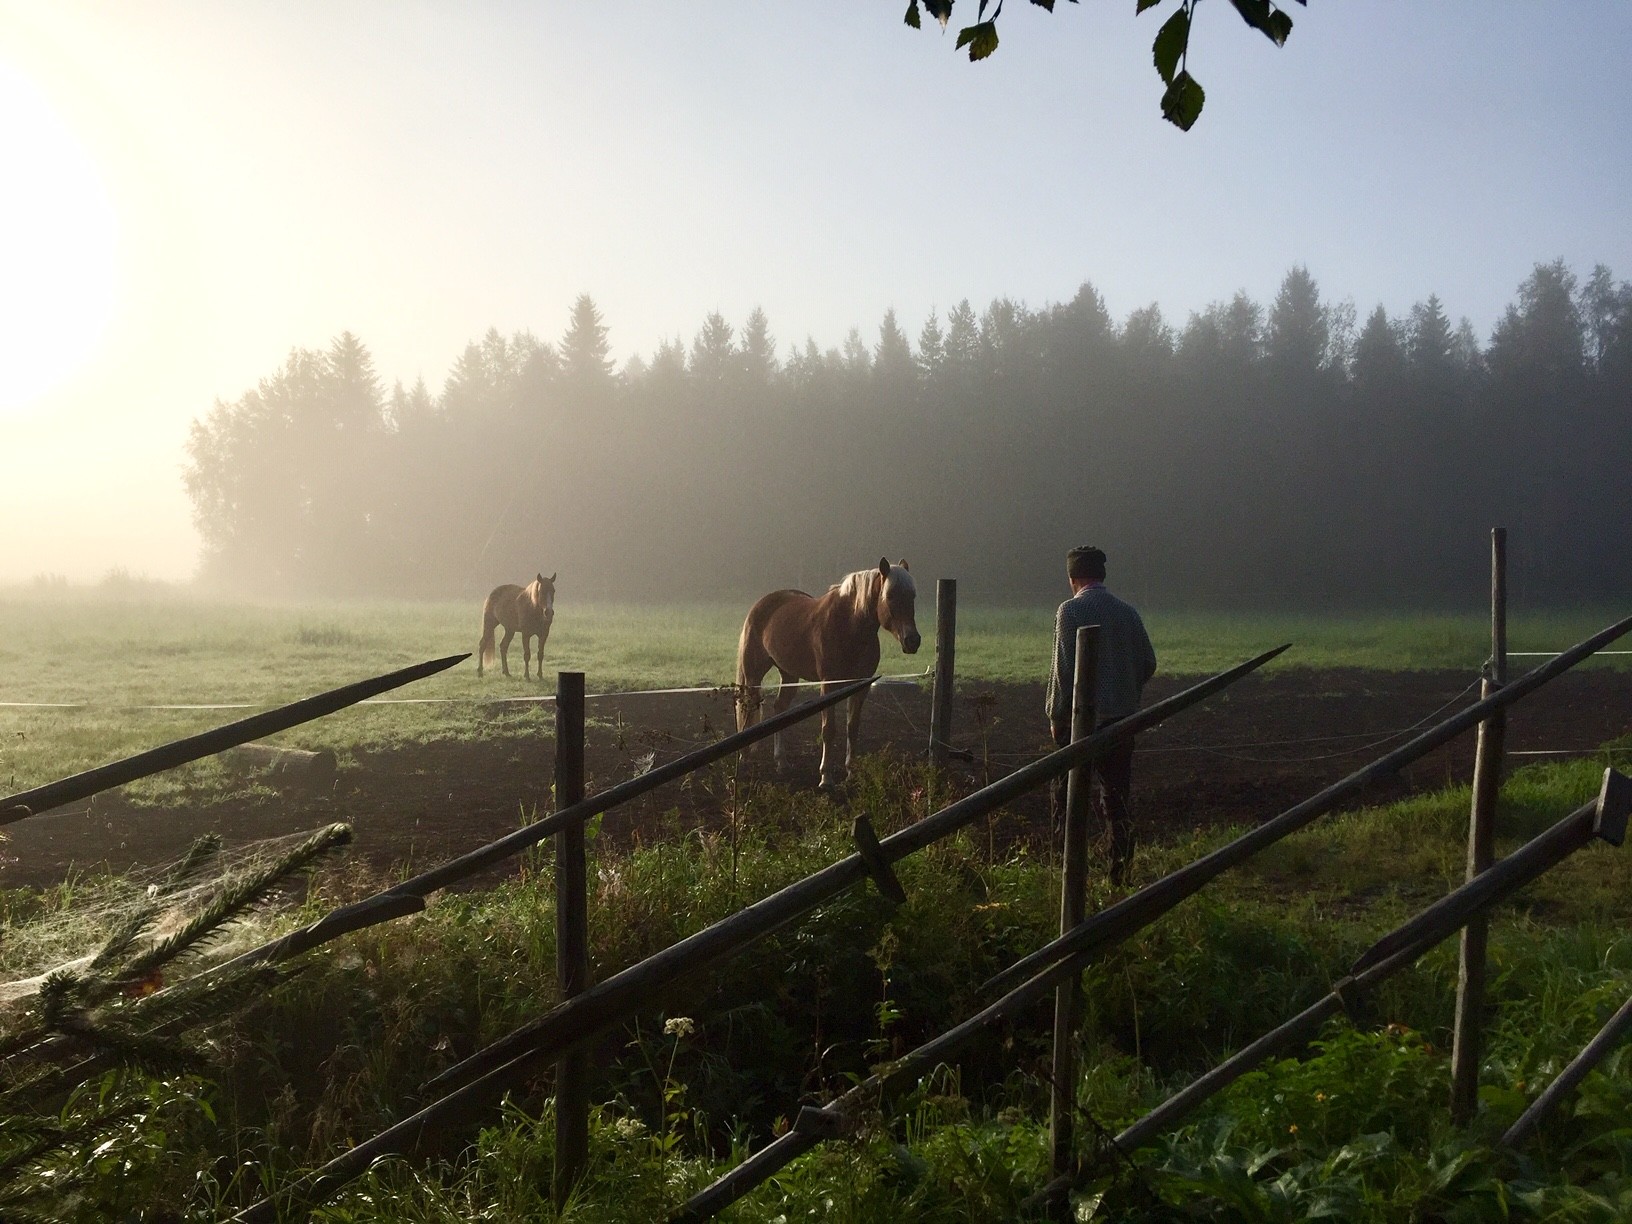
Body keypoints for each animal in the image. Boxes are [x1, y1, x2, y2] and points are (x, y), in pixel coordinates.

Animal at [737, 558, 920, 789]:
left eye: (912, 595)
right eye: (890, 596)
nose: (912, 641)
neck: (849, 626)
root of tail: (761, 604)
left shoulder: (860, 686)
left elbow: (852, 727)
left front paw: (851, 772)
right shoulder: (829, 684)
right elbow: (828, 729)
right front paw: (825, 777)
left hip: (789, 675)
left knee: (779, 708)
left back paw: (781, 762)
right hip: (753, 674)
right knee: (747, 708)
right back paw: (743, 760)